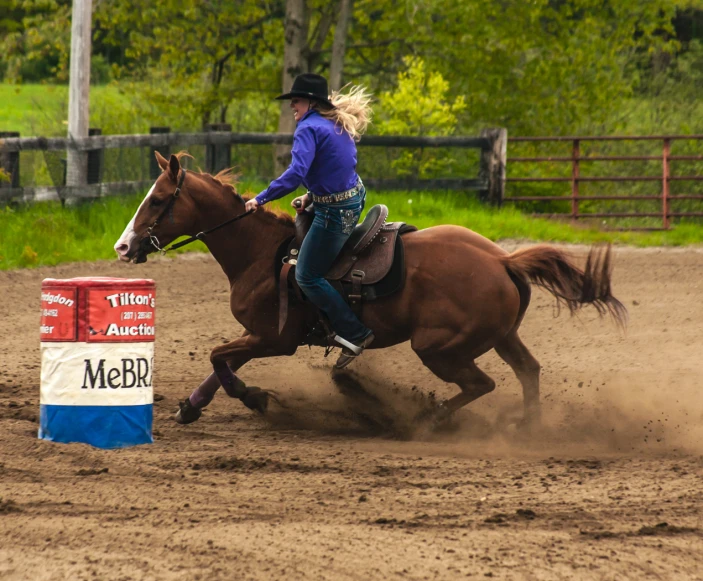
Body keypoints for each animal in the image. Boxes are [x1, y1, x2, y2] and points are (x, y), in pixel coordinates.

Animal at [114, 153, 628, 426]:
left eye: (157, 200)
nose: (122, 247)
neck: (262, 253)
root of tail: (502, 259)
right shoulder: (260, 336)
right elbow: (221, 362)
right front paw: (189, 407)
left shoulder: (275, 339)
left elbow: (219, 358)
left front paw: (256, 398)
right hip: (501, 337)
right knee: (528, 371)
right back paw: (527, 426)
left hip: (438, 347)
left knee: (481, 384)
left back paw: (426, 419)